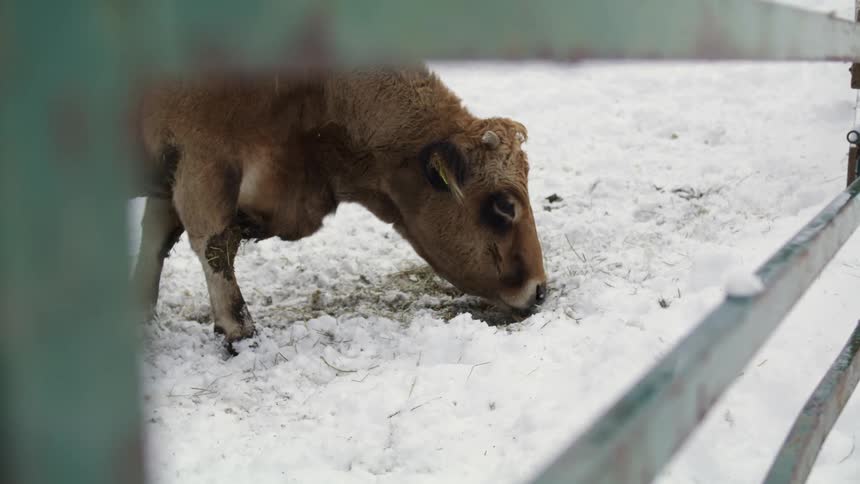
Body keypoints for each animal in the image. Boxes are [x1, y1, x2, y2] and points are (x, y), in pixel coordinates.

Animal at [131, 65, 547, 345]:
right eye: (504, 205)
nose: (540, 289)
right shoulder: (202, 161)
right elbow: (214, 244)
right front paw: (238, 331)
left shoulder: (170, 178)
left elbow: (156, 243)